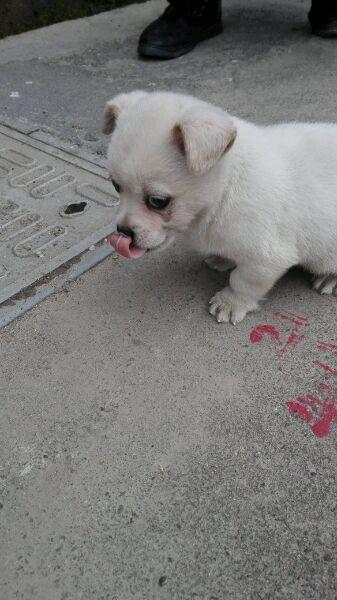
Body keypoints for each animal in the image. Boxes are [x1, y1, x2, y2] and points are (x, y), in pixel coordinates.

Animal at [103, 90, 336, 324]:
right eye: (115, 186)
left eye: (157, 201)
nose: (123, 232)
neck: (224, 189)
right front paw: (222, 258)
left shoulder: (266, 258)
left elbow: (243, 281)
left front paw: (231, 302)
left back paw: (329, 279)